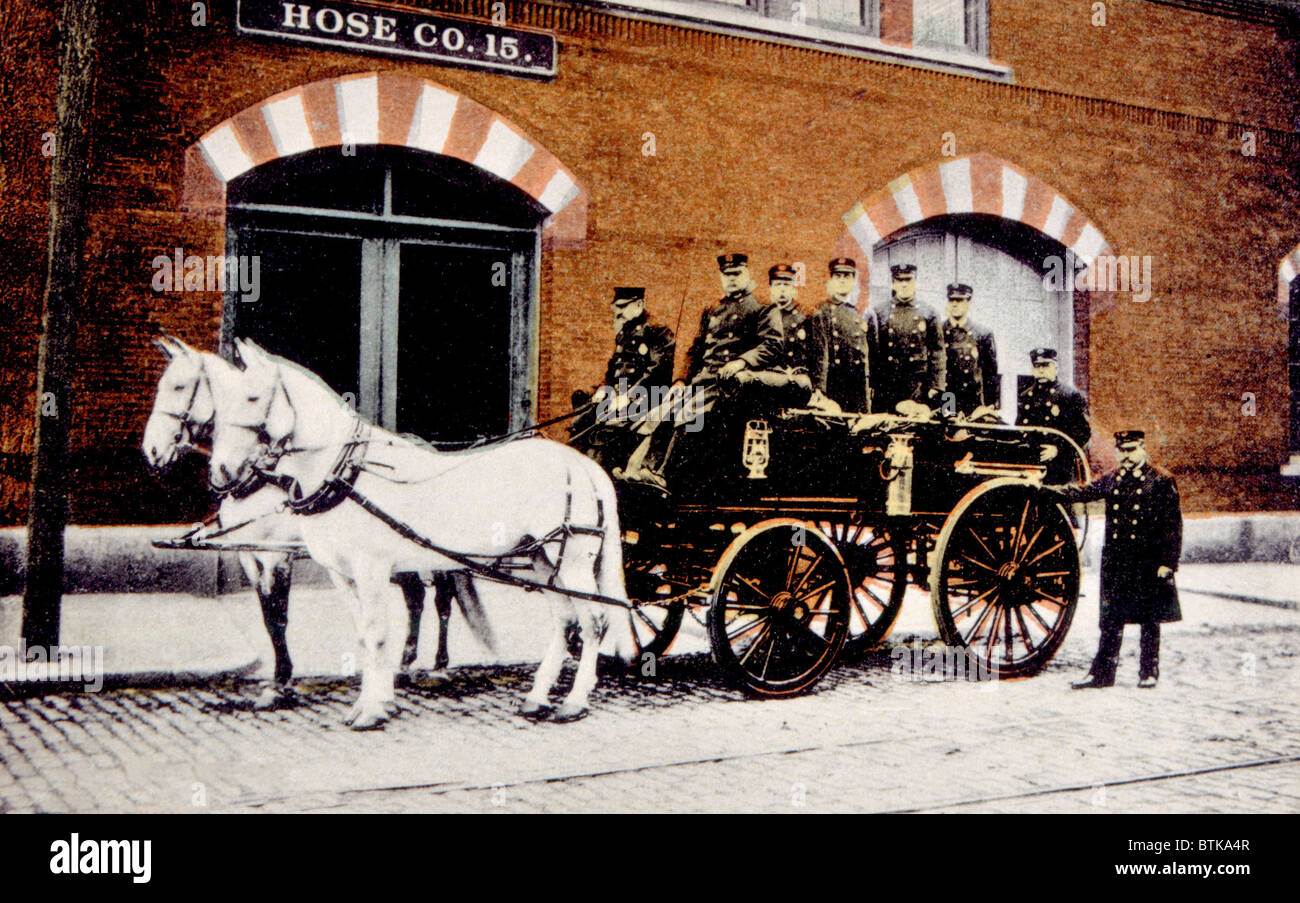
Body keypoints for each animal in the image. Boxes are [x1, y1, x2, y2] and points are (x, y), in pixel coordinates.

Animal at [139, 335, 488, 712]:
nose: (152, 451)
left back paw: (439, 665)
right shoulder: (250, 555)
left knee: (442, 597)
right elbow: (267, 616)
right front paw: (280, 680)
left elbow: (278, 616)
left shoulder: (277, 555)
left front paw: (281, 682)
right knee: (415, 597)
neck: (260, 477)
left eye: (178, 387)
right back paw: (406, 663)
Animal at [205, 337, 637, 727]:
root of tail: (580, 463)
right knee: (564, 621)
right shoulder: (341, 572)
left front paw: (371, 710)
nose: (221, 471)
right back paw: (537, 698)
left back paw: (574, 703)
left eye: (252, 398)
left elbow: (378, 633)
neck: (346, 472)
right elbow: (363, 635)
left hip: (575, 562)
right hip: (543, 557)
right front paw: (376, 701)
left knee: (595, 621)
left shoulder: (370, 568)